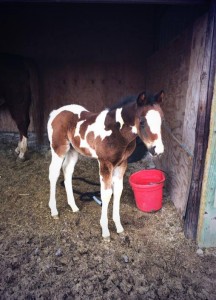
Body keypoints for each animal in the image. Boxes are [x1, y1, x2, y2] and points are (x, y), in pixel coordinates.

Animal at [48, 91, 165, 241]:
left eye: (162, 120)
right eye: (142, 121)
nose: (158, 150)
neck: (117, 132)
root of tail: (56, 112)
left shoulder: (121, 164)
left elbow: (118, 191)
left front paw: (119, 227)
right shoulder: (105, 163)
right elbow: (106, 194)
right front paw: (105, 231)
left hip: (73, 151)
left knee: (67, 171)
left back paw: (73, 206)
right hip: (59, 149)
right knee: (54, 173)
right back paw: (54, 211)